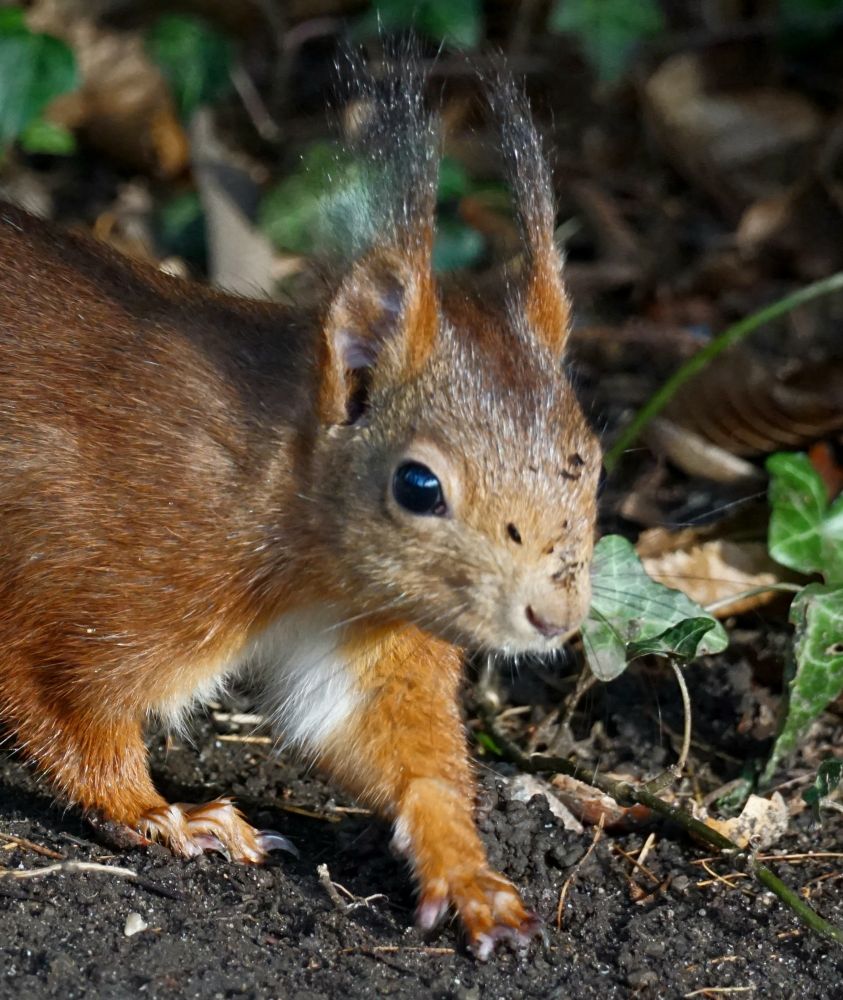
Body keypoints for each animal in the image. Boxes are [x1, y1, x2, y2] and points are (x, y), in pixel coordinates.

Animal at [0, 53, 601, 958]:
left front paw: (468, 872)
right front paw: (165, 814)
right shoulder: (106, 577)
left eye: (591, 462)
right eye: (417, 486)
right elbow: (66, 711)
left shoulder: (366, 635)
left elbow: (389, 746)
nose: (553, 618)